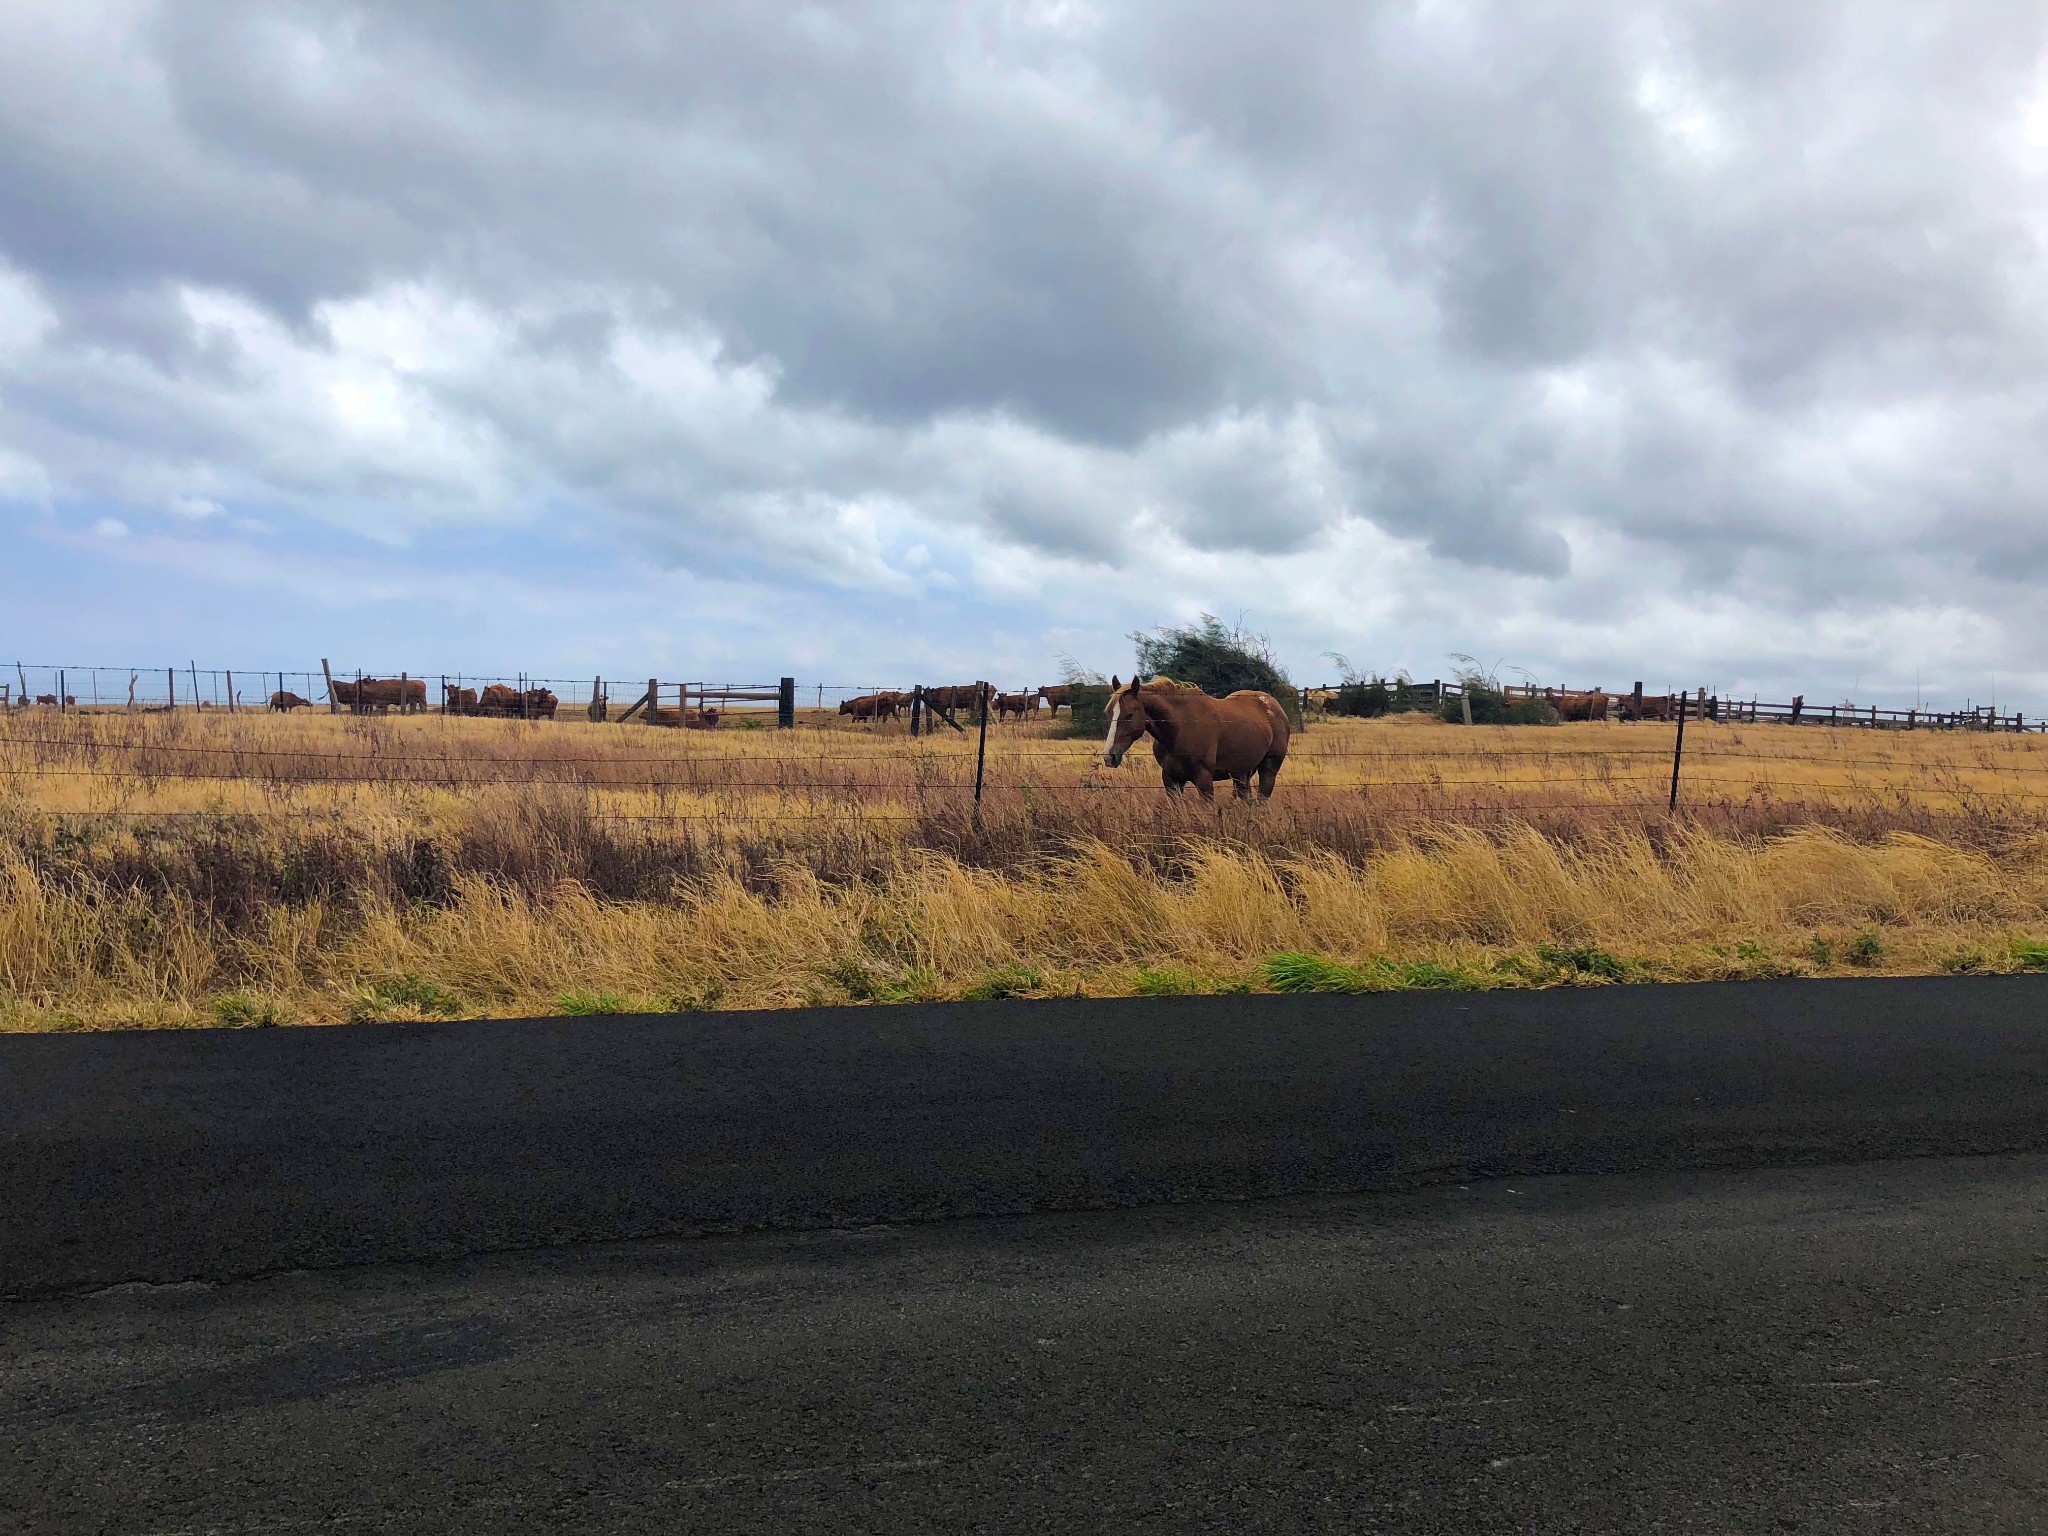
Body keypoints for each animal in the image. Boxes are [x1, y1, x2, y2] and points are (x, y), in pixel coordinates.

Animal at [1097, 684, 1286, 806]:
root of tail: (1272, 705)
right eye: (1108, 713)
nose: (1109, 756)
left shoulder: (1204, 780)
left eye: (1129, 715)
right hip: (1241, 773)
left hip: (1268, 771)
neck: (1180, 729)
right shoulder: (1171, 780)